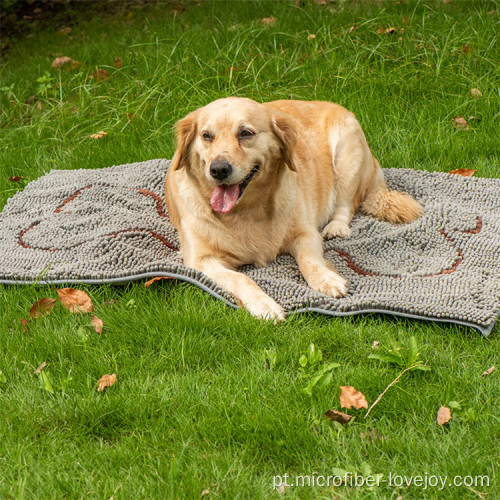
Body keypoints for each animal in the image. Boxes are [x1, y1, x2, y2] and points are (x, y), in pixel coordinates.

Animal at [165, 98, 422, 320]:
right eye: (206, 136)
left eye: (245, 133)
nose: (218, 169)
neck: (247, 211)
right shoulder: (201, 260)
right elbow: (240, 279)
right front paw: (263, 305)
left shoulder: (306, 234)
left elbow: (310, 261)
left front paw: (327, 279)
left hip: (348, 154)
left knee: (346, 205)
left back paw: (336, 227)